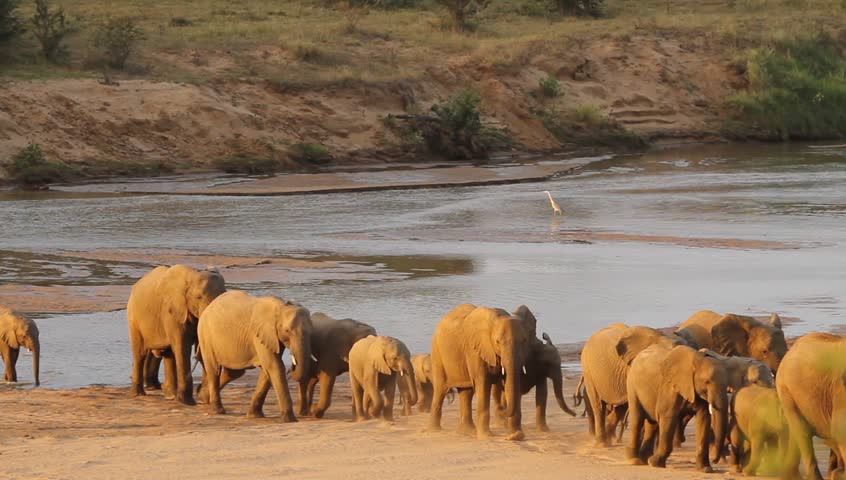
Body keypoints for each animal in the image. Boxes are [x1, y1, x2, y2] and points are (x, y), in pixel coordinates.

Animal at [127, 265, 226, 405]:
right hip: (134, 318)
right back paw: (138, 394)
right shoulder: (172, 313)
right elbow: (182, 347)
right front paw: (187, 403)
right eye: (199, 297)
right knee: (140, 353)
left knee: (168, 353)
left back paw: (171, 395)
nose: (199, 390)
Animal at [197, 291, 312, 421]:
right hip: (205, 334)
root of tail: (209, 306)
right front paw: (289, 420)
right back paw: (217, 410)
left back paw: (203, 397)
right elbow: (275, 366)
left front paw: (254, 416)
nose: (291, 367)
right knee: (214, 370)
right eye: (287, 331)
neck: (281, 308)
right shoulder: (260, 334)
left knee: (234, 372)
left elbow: (267, 370)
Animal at [429, 304, 530, 441]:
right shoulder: (475, 350)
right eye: (497, 342)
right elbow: (483, 383)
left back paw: (467, 431)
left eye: (524, 341)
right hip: (438, 354)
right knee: (440, 389)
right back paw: (434, 430)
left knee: (466, 392)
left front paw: (516, 435)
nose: (501, 408)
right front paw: (486, 436)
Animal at [626, 344, 729, 473]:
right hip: (632, 386)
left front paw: (705, 469)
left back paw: (644, 460)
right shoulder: (669, 387)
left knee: (652, 423)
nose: (715, 461)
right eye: (707, 381)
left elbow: (704, 419)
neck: (696, 360)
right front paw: (655, 464)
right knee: (637, 419)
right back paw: (635, 461)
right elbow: (667, 416)